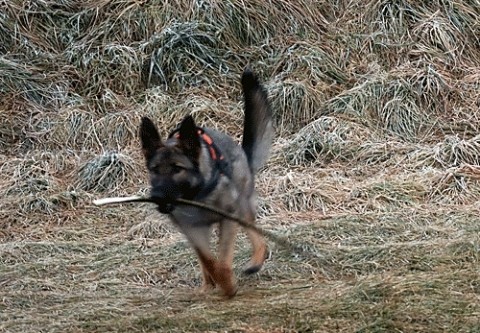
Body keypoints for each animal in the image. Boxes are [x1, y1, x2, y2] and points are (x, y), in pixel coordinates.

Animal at [139, 68, 274, 296]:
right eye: (155, 169)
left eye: (177, 168)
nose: (156, 197)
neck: (195, 194)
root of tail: (241, 152)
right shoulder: (193, 230)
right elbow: (209, 261)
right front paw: (220, 282)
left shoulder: (227, 219)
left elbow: (222, 261)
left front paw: (228, 287)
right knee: (205, 261)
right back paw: (206, 285)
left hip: (241, 208)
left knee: (257, 238)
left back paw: (255, 261)